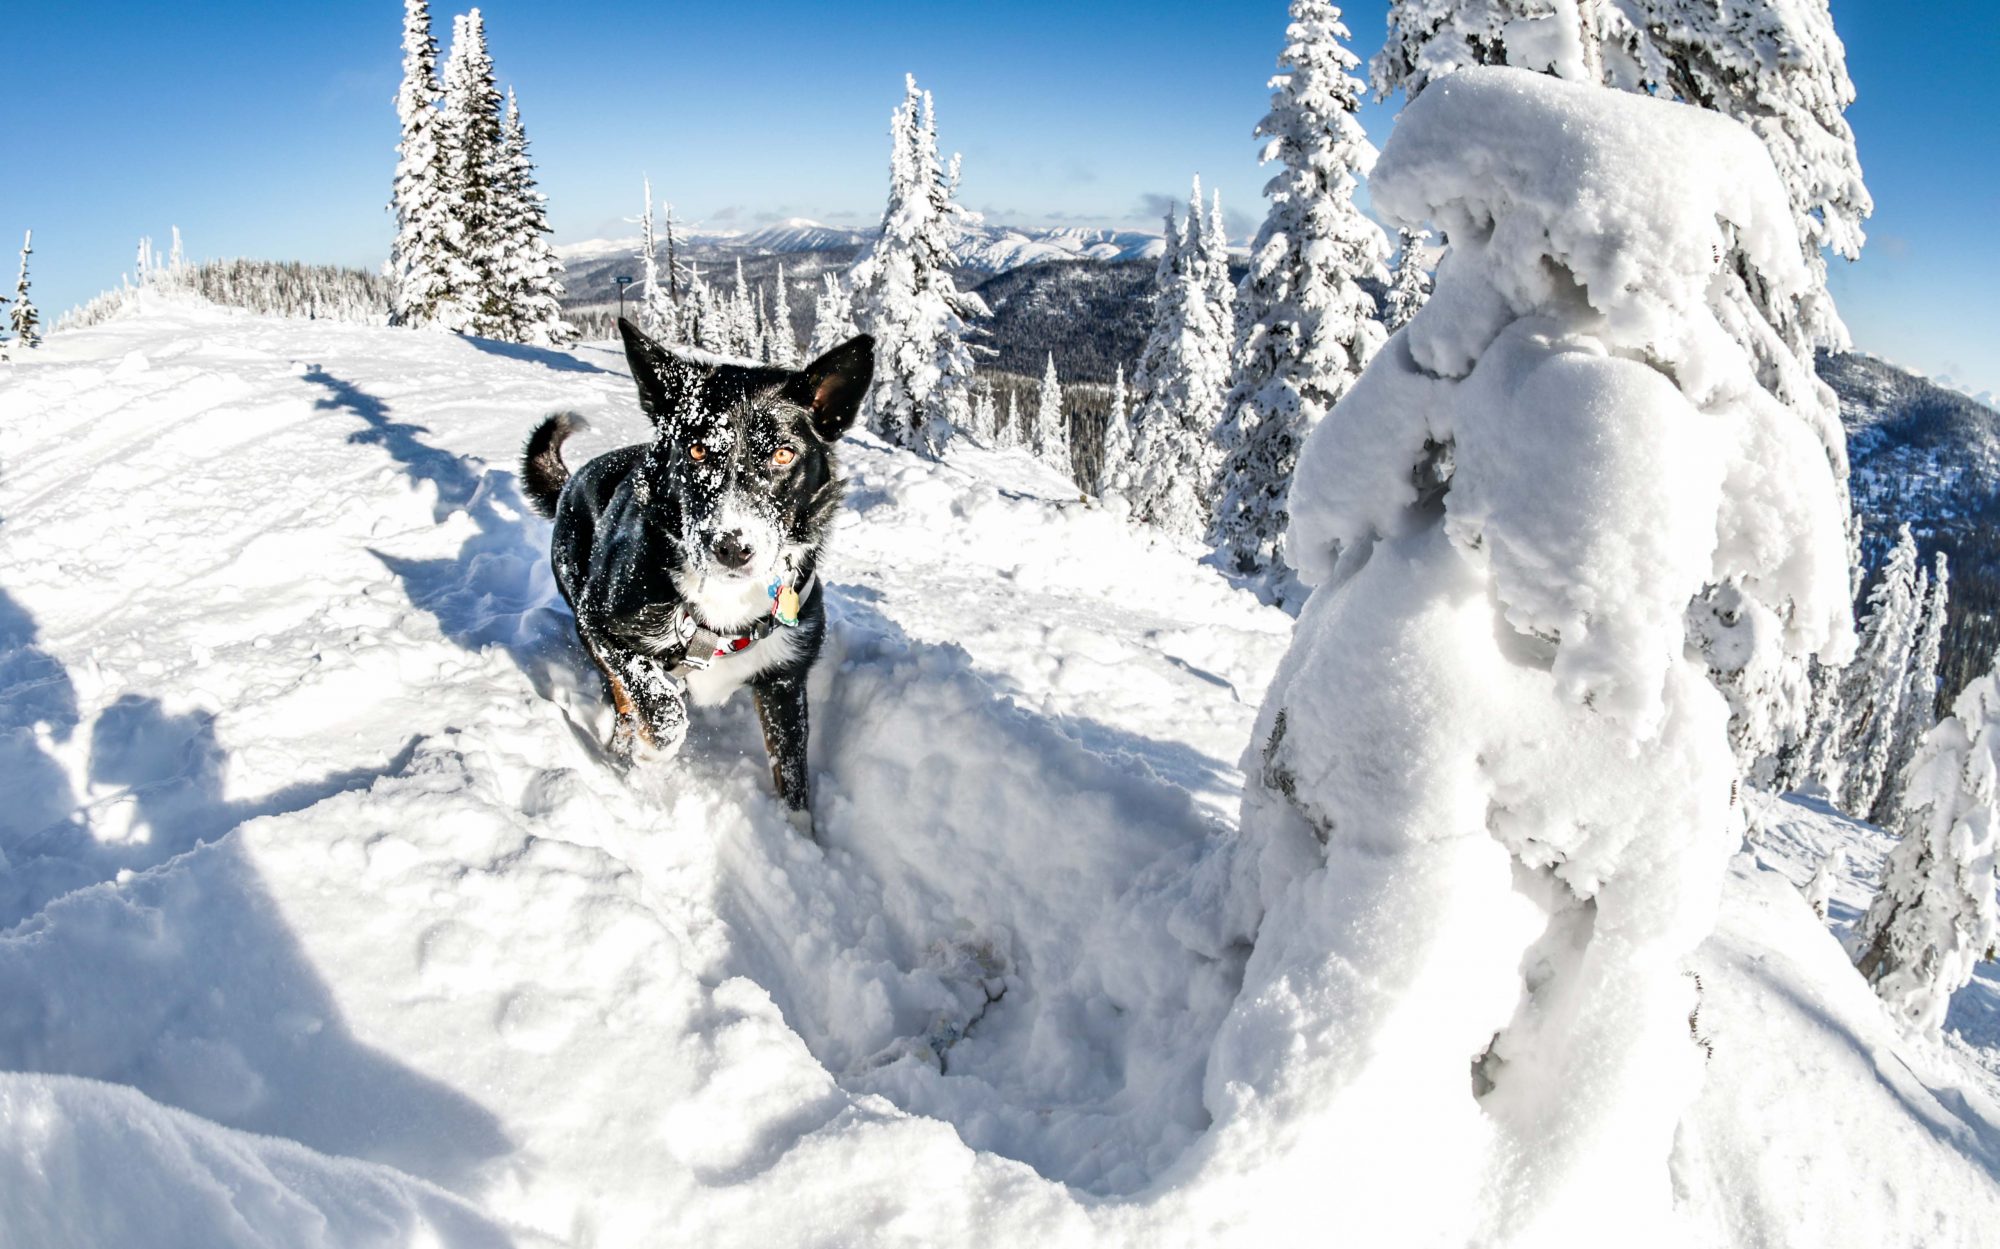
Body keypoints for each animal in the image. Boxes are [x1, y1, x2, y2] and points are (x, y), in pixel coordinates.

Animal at [528, 314, 872, 828]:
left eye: (784, 455)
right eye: (695, 452)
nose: (733, 547)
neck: (726, 602)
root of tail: (572, 479)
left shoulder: (784, 679)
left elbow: (793, 779)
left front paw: (798, 838)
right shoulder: (601, 623)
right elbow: (660, 708)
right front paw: (650, 755)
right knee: (623, 697)